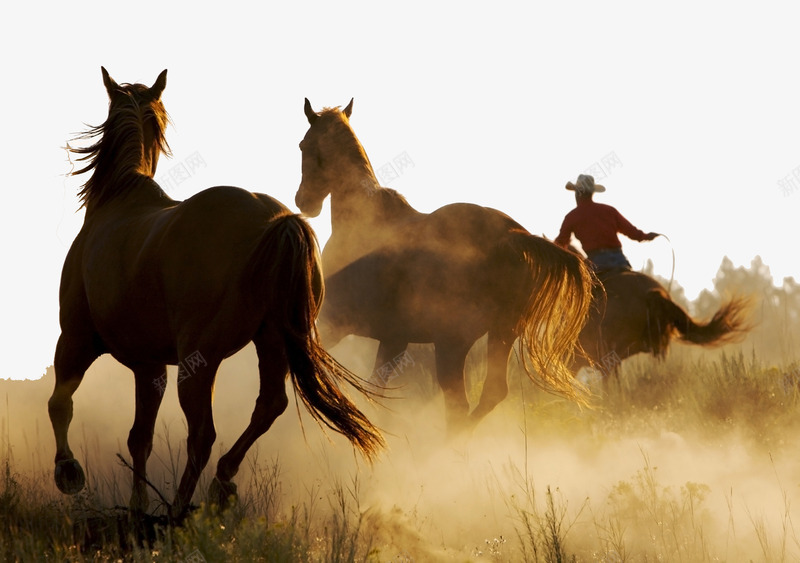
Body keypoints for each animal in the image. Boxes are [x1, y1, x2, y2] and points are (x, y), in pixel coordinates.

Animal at [50, 69, 384, 520]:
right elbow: (139, 438)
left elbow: (60, 403)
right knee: (267, 407)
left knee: (203, 435)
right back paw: (221, 483)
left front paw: (69, 472)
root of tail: (277, 221)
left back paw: (179, 509)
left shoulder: (76, 340)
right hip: (271, 343)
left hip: (198, 362)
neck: (117, 201)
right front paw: (137, 506)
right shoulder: (149, 366)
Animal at [294, 99, 592, 432]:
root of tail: (511, 236)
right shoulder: (394, 339)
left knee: (459, 405)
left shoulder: (334, 322)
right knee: (489, 395)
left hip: (452, 344)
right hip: (499, 334)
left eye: (303, 144)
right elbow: (376, 389)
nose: (304, 201)